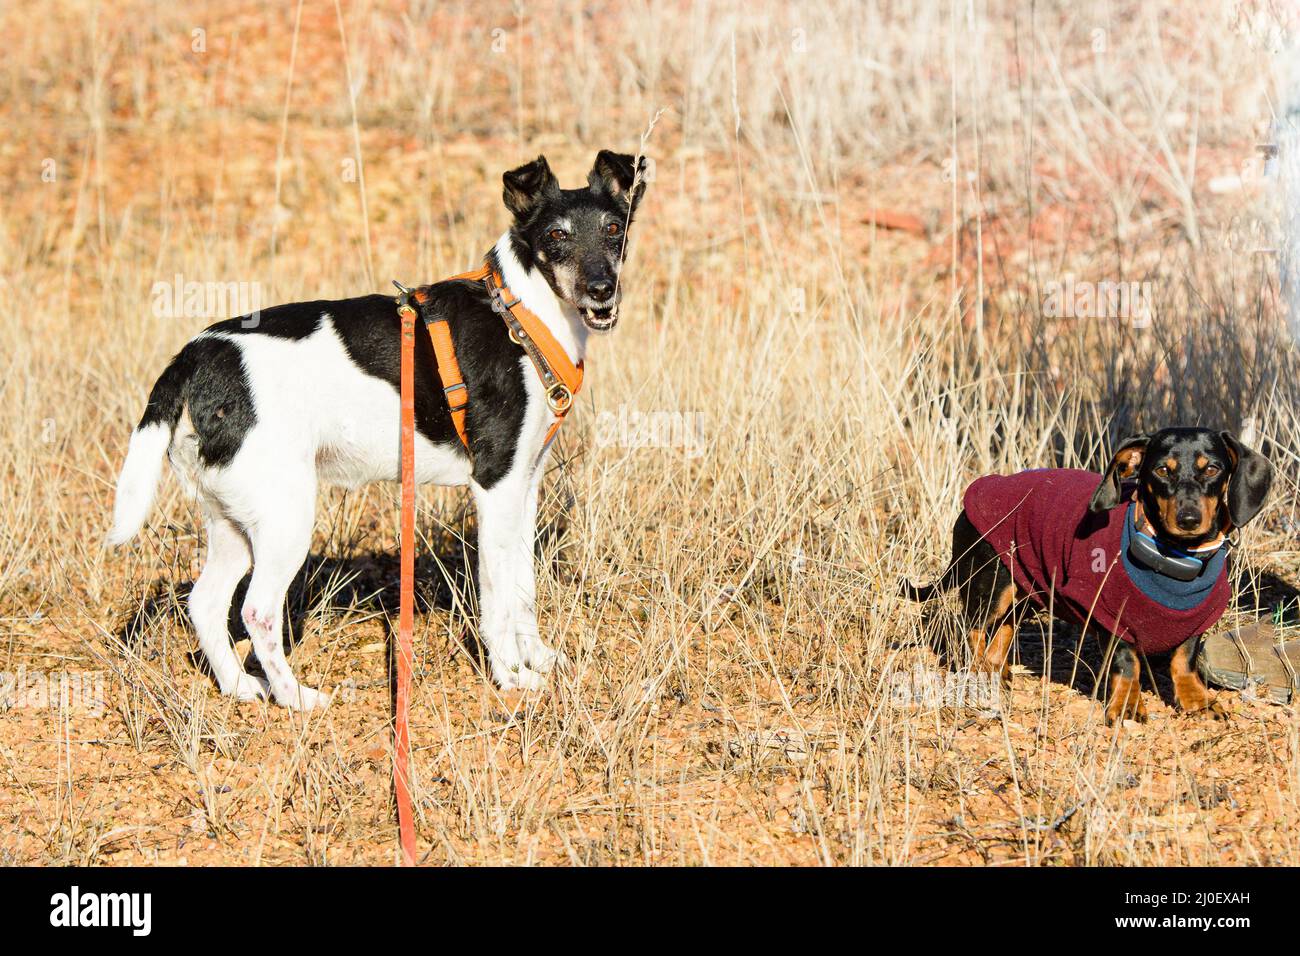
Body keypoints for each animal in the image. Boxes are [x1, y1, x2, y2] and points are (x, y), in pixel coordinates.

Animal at [109, 151, 647, 712]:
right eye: (557, 235)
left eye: (614, 228)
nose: (602, 290)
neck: (521, 315)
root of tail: (198, 352)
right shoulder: (495, 484)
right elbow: (498, 598)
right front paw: (509, 675)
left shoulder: (524, 485)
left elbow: (523, 588)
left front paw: (537, 658)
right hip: (285, 518)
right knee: (257, 612)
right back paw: (295, 697)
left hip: (235, 516)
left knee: (205, 602)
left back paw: (239, 686)